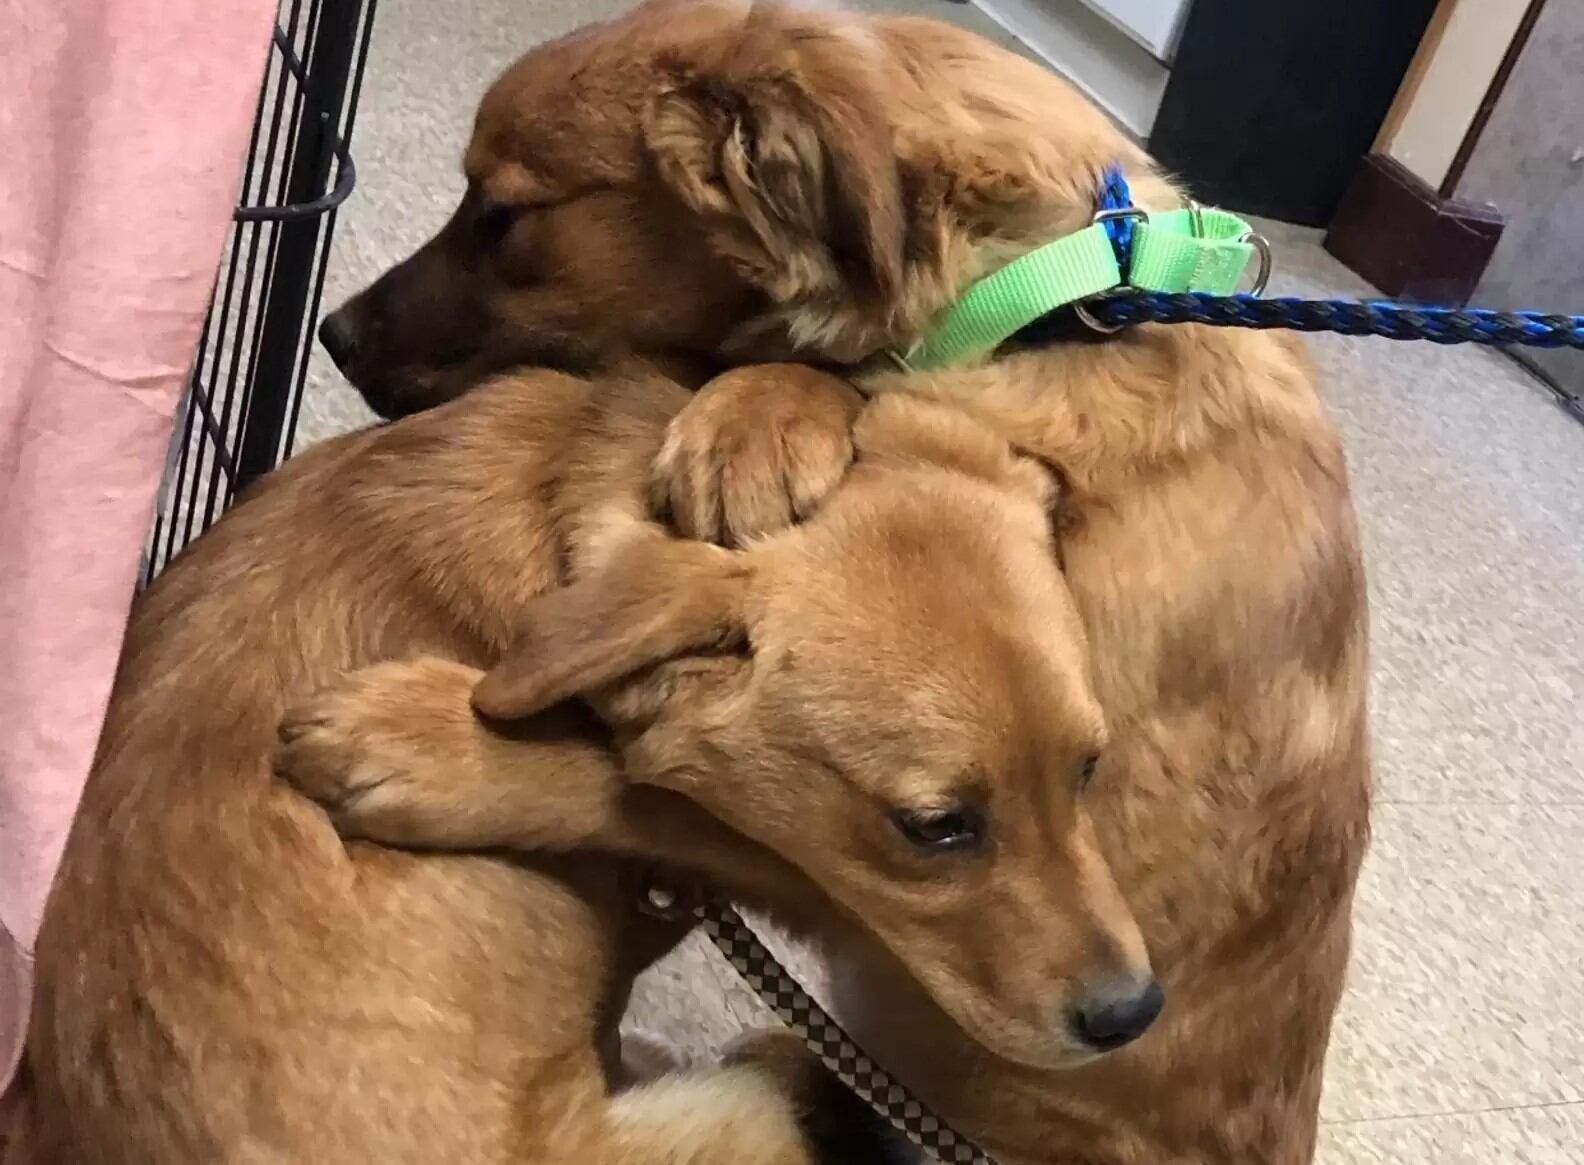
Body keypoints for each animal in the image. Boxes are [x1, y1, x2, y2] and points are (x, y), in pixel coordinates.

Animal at [13, 363, 1149, 1164]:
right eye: (936, 826)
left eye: (1089, 768)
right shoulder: (780, 866)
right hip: (740, 1114)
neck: (554, 512)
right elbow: (645, 792)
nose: (1133, 1013)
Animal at [317, 4, 1371, 1164]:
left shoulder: (950, 876)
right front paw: (766, 412)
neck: (1055, 295)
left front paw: (435, 746)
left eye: (503, 217)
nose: (334, 333)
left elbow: (644, 786)